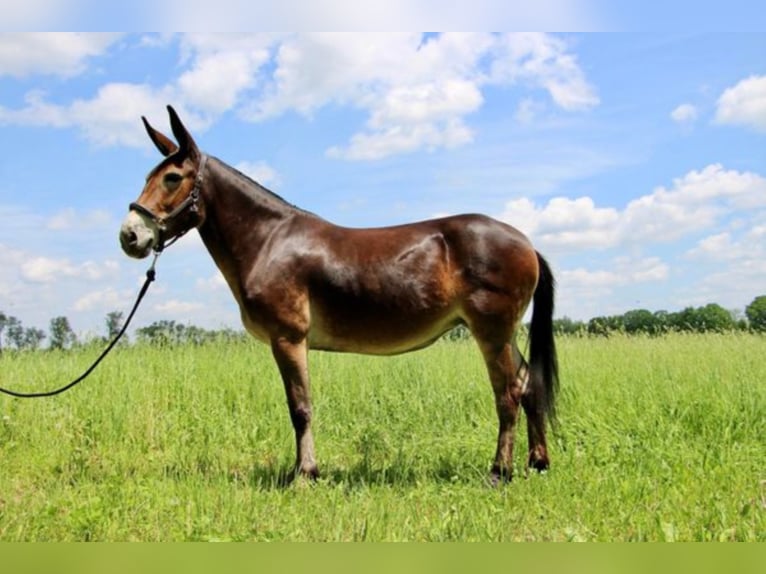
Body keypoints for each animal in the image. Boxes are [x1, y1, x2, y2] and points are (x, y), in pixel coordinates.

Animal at [121, 106, 564, 484]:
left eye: (172, 178)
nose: (129, 236)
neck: (269, 240)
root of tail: (526, 243)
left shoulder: (288, 338)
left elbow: (300, 408)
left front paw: (304, 475)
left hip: (491, 332)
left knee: (507, 394)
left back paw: (499, 472)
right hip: (503, 334)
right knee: (528, 385)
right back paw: (537, 462)